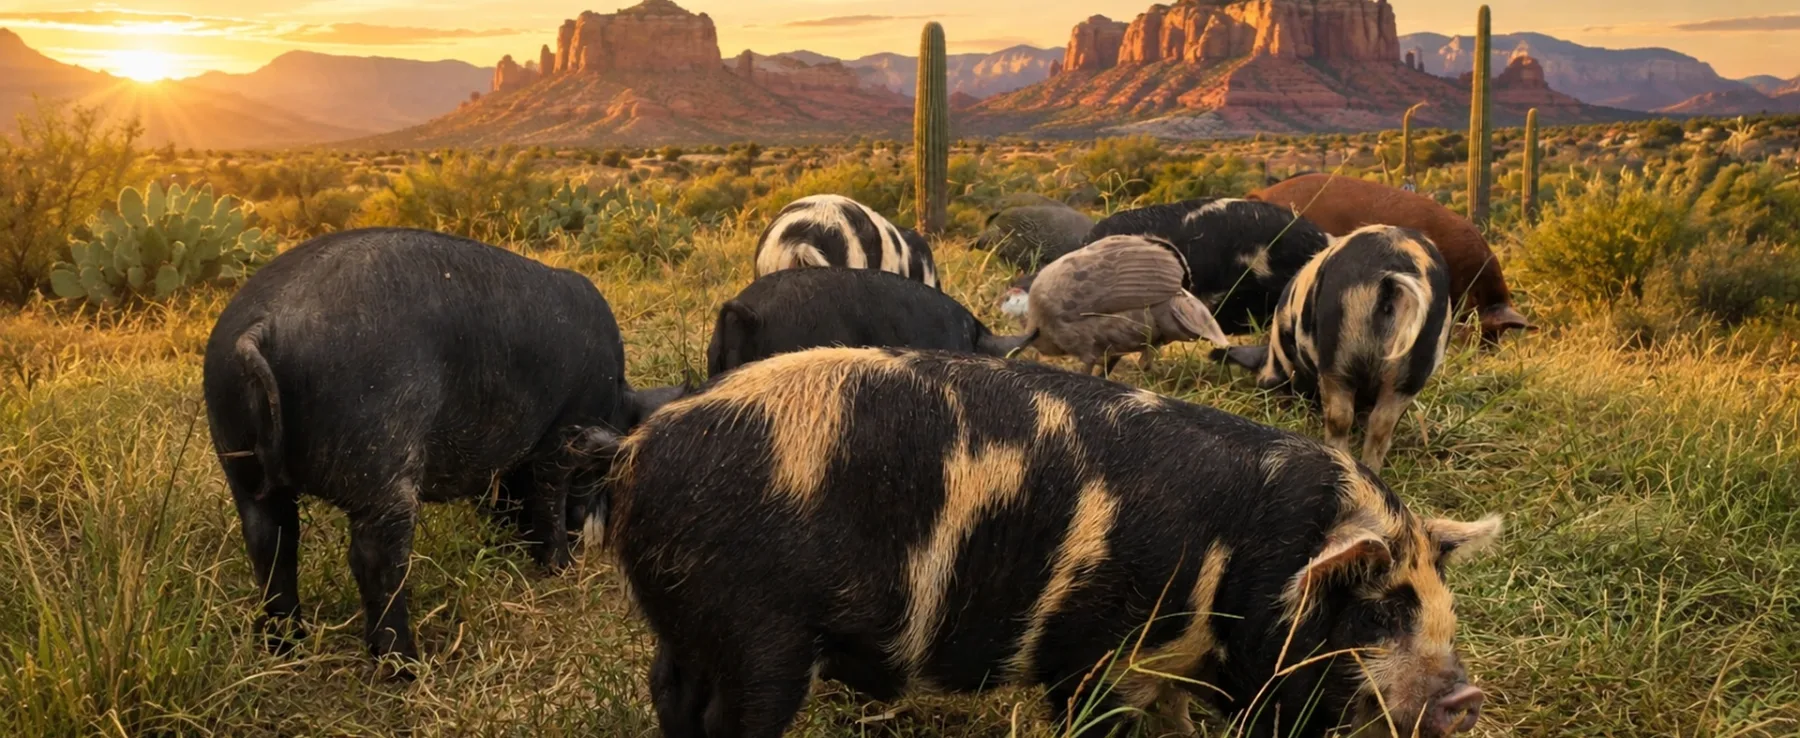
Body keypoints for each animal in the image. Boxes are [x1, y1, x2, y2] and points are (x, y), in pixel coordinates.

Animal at [202, 227, 668, 667]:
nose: (589, 545)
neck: (612, 397)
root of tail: (263, 325)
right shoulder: (565, 430)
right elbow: (550, 495)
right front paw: (560, 566)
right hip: (381, 451)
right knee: (374, 557)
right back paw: (407, 665)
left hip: (238, 461)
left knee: (271, 543)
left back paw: (287, 649)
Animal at [581, 347, 1502, 738]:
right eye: (1378, 610)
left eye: (1444, 609)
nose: (1467, 697)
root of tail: (639, 450)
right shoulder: (1098, 652)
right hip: (758, 630)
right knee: (731, 713)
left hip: (688, 620)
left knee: (669, 691)